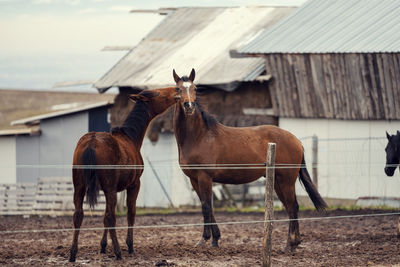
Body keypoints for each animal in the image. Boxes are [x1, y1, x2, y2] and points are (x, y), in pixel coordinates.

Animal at [69, 87, 178, 262]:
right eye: (158, 93)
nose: (176, 90)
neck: (131, 138)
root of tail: (91, 142)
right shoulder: (134, 184)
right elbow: (130, 213)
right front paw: (130, 246)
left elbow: (104, 216)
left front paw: (103, 246)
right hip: (109, 188)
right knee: (111, 217)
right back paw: (118, 252)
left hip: (79, 186)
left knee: (78, 215)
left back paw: (73, 253)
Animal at [173, 68, 328, 251]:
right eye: (177, 89)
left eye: (195, 88)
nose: (189, 106)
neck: (200, 136)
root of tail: (296, 140)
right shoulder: (194, 179)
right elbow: (208, 207)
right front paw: (213, 239)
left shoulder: (204, 177)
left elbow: (206, 207)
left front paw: (206, 239)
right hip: (277, 181)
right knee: (290, 207)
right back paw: (293, 243)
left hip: (287, 180)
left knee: (293, 206)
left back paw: (290, 244)